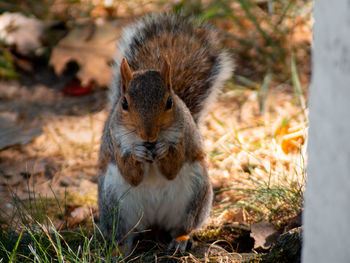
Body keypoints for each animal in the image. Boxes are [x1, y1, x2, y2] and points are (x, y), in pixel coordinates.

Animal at [98, 13, 235, 255]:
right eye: (124, 103)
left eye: (169, 102)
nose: (149, 135)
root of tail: (153, 221)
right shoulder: (115, 140)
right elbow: (131, 174)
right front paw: (136, 152)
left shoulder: (183, 136)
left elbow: (173, 166)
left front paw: (165, 150)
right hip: (114, 204)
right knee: (125, 234)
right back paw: (119, 250)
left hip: (195, 195)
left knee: (181, 226)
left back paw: (180, 240)